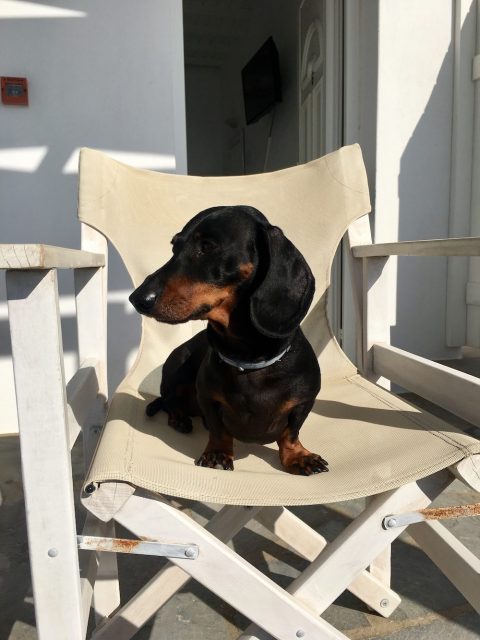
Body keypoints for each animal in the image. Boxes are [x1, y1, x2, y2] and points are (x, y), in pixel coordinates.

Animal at [129, 205, 328, 476]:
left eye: (207, 246)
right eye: (174, 247)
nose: (136, 299)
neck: (249, 360)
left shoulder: (305, 401)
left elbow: (291, 432)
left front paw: (298, 455)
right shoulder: (207, 397)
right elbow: (218, 428)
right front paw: (217, 454)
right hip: (176, 366)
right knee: (170, 400)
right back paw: (179, 418)